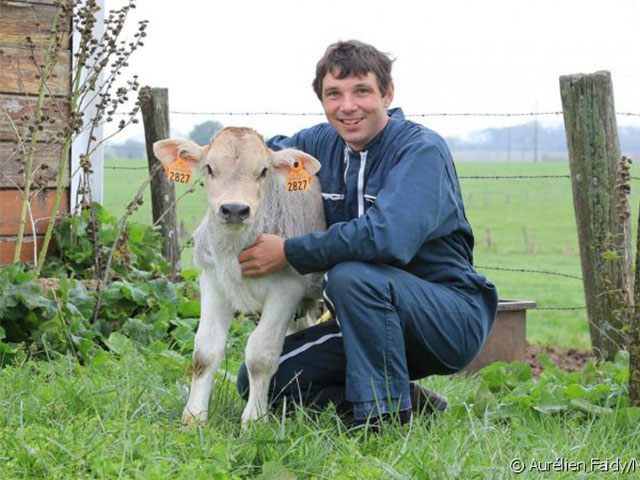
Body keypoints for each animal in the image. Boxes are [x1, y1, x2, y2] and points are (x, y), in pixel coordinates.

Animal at [154, 126, 324, 424]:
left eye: (264, 171)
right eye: (209, 168)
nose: (234, 209)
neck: (234, 252)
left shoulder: (286, 290)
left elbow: (260, 356)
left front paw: (254, 419)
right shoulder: (212, 281)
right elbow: (205, 351)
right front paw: (193, 416)